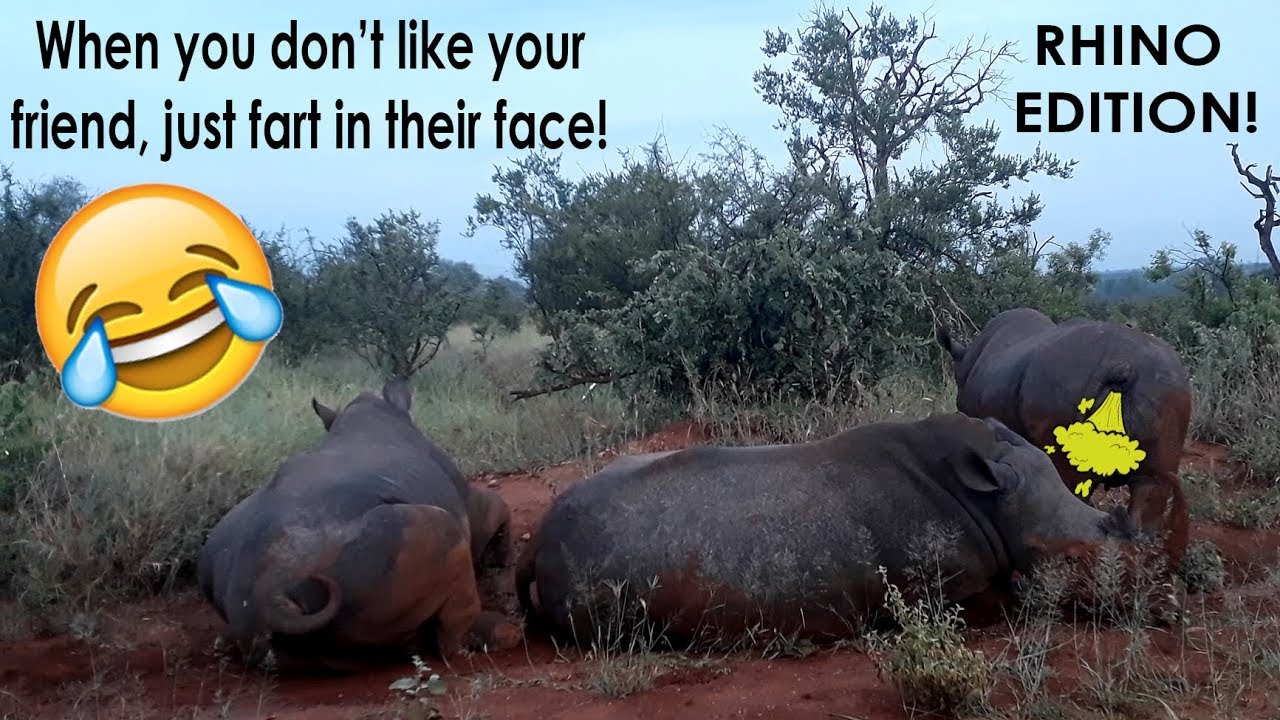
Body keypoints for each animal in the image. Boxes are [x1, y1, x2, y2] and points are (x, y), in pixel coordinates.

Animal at [197, 379, 520, 672]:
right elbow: (497, 509)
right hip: (386, 547)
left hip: (226, 557)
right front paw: (501, 558)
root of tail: (268, 599)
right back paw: (505, 634)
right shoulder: (471, 506)